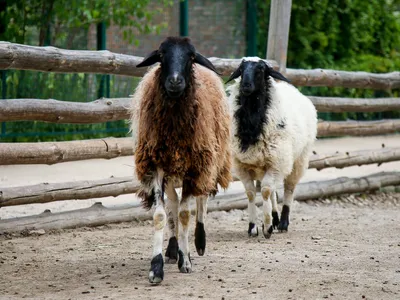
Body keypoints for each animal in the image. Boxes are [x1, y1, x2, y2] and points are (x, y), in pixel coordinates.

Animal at [228, 56, 316, 239]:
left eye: (261, 69)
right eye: (241, 68)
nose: (245, 85)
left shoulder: (276, 162)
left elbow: (266, 191)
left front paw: (267, 227)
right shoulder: (243, 165)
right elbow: (251, 193)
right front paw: (253, 227)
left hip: (297, 160)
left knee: (289, 189)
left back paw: (282, 223)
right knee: (274, 189)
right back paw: (275, 218)